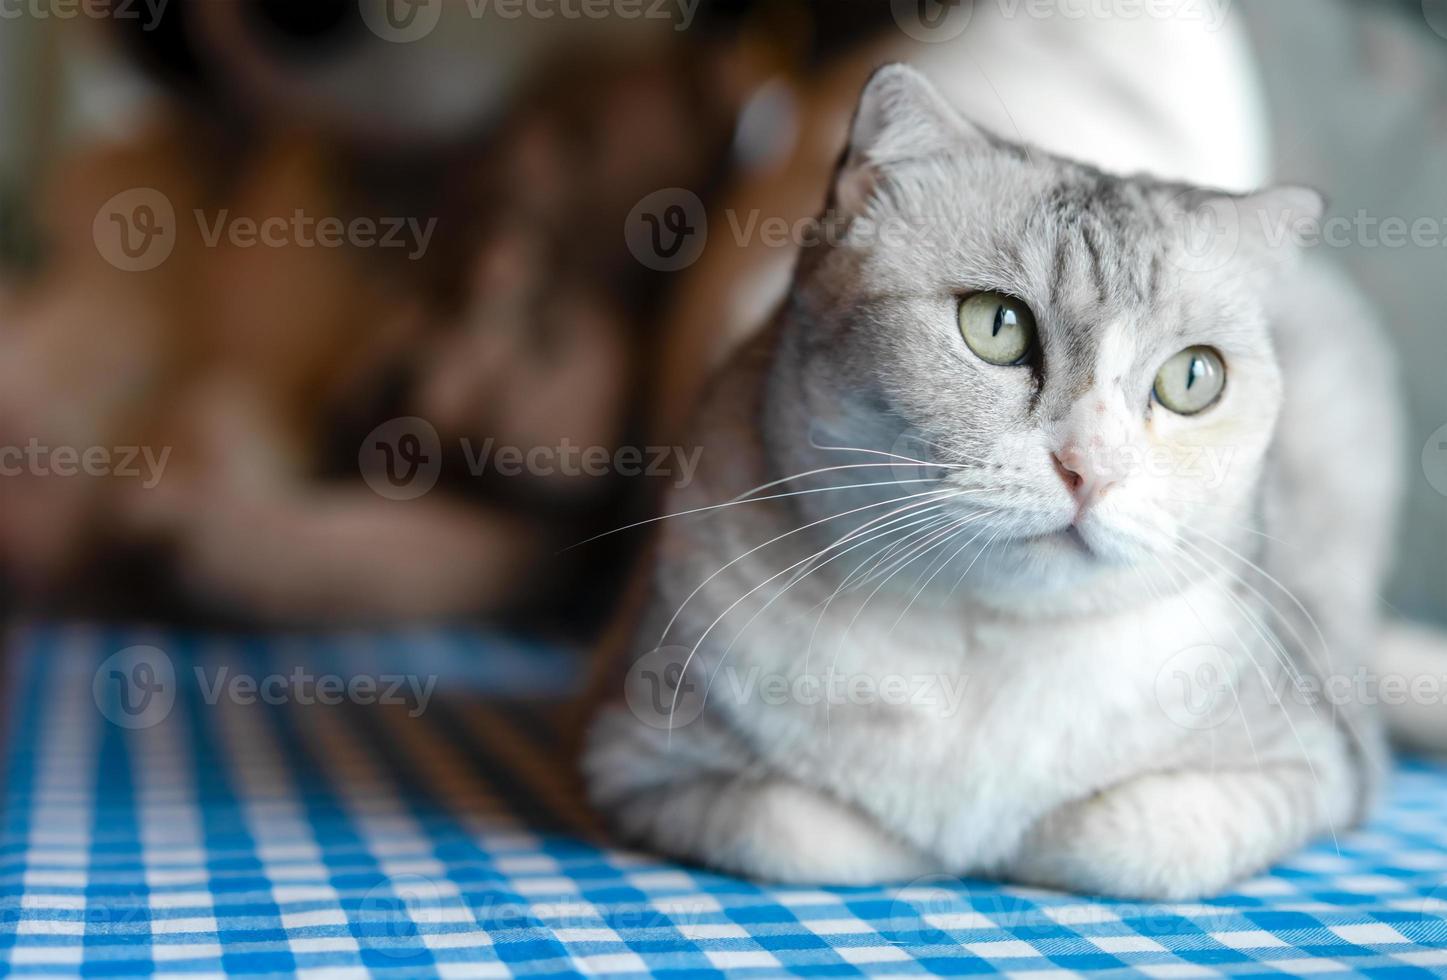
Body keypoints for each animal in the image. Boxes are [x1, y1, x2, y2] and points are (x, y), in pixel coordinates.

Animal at [581, 65, 1406, 897]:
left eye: (1192, 378)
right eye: (996, 325)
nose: (1091, 469)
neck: (986, 643)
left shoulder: (1324, 764)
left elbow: (1121, 836)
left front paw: (1008, 841)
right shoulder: (625, 753)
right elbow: (802, 830)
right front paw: (932, 842)